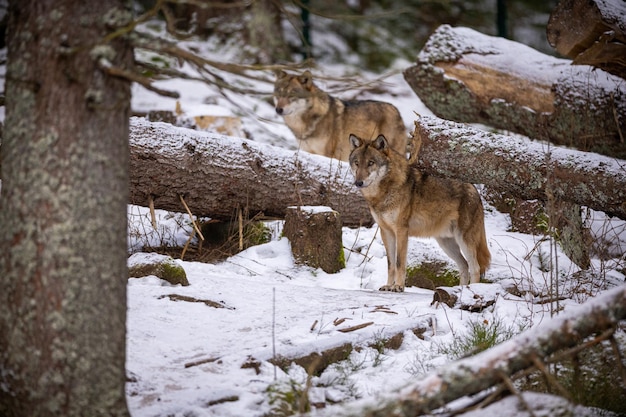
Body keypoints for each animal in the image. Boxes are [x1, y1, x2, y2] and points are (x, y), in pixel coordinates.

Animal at [270, 69, 408, 160]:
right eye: (279, 93)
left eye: (292, 94)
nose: (278, 110)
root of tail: (396, 110)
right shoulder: (308, 151)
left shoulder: (328, 155)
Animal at [346, 132, 488, 290]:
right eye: (357, 163)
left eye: (371, 163)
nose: (358, 182)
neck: (383, 192)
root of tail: (475, 190)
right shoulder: (386, 232)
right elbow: (390, 265)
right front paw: (388, 286)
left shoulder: (401, 231)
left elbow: (399, 262)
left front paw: (398, 287)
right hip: (446, 243)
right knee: (464, 266)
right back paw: (460, 290)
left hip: (464, 240)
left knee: (475, 268)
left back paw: (472, 290)